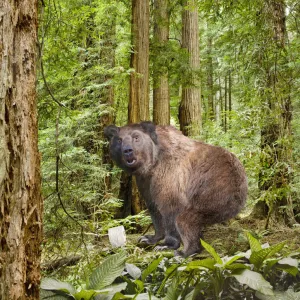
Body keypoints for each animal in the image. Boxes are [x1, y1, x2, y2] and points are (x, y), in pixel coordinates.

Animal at [104, 120, 247, 256]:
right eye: (119, 140)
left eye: (136, 137)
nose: (127, 150)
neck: (151, 164)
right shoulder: (146, 182)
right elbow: (154, 209)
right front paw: (148, 238)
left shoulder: (169, 173)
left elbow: (170, 207)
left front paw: (166, 244)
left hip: (214, 191)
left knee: (186, 219)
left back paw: (186, 251)